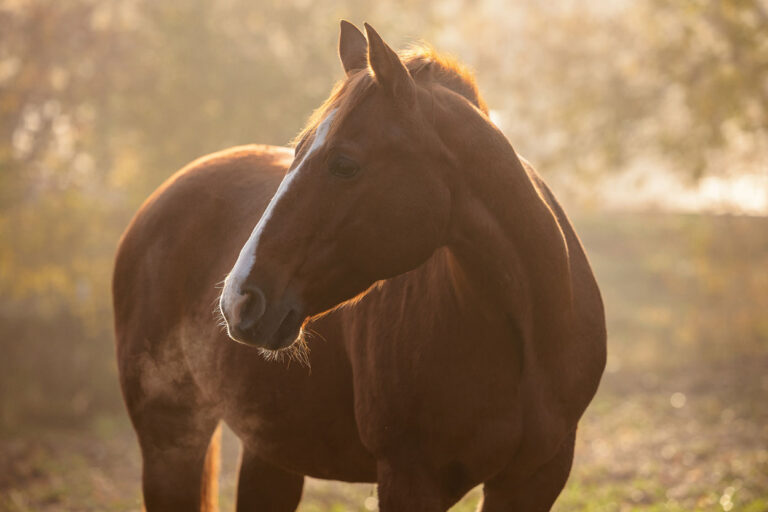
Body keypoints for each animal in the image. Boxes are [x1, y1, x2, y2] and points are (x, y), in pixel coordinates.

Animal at [113, 21, 606, 512]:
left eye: (344, 164)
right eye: (296, 153)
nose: (238, 301)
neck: (523, 333)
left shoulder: (534, 479)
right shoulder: (409, 479)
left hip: (269, 450)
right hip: (171, 442)